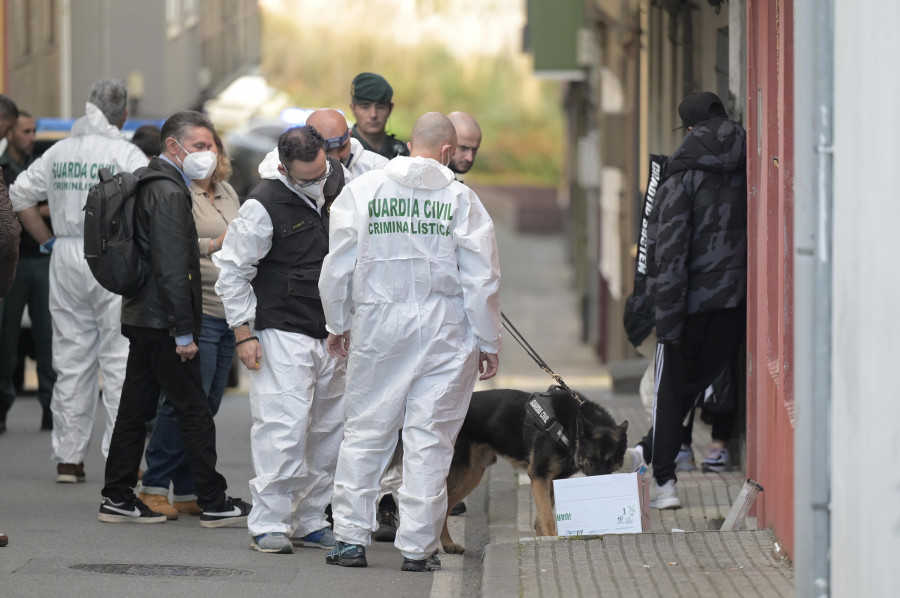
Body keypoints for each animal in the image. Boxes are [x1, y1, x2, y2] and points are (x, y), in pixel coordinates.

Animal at [442, 386, 624, 556]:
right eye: (592, 459)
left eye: (612, 465)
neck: (569, 426)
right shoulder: (539, 476)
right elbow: (548, 516)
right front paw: (553, 539)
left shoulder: (551, 480)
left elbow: (542, 517)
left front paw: (542, 540)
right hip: (461, 474)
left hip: (471, 475)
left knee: (447, 505)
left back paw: (447, 545)